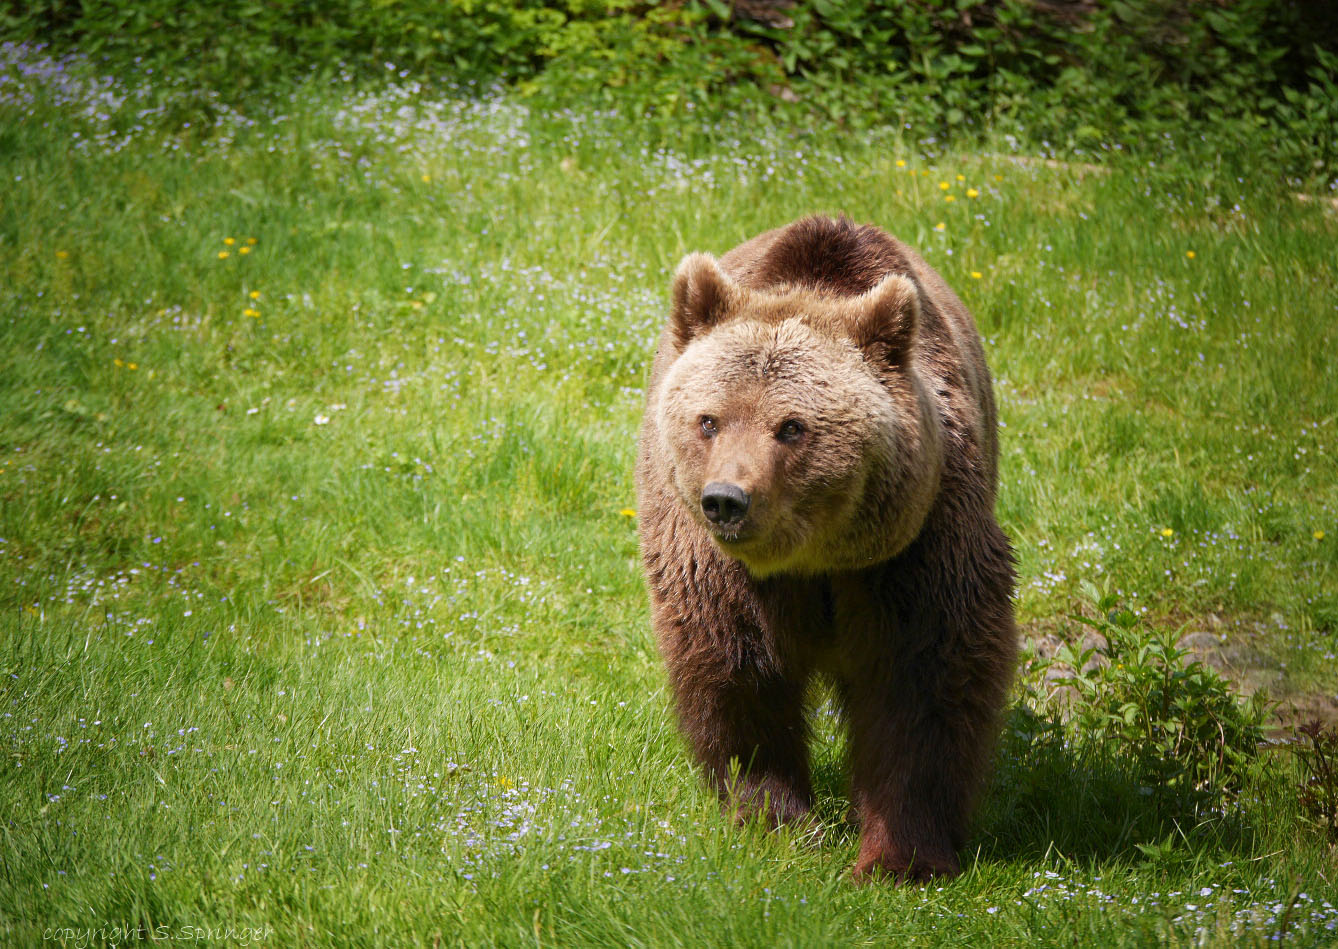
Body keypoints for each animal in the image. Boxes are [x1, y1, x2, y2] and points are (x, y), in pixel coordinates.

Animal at [634, 214, 1011, 883]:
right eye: (709, 420)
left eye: (791, 426)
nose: (727, 500)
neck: (816, 559)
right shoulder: (719, 567)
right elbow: (739, 669)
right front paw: (773, 817)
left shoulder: (917, 546)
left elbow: (924, 681)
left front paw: (901, 857)